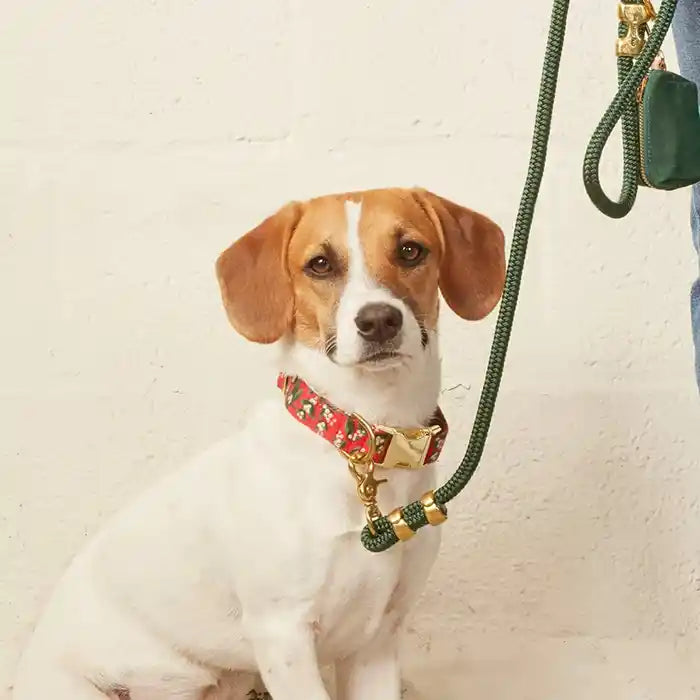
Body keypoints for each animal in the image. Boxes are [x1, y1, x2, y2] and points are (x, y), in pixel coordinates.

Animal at [10, 187, 504, 700]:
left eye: (410, 250)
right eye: (320, 264)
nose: (379, 320)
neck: (364, 434)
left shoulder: (376, 643)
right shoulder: (283, 635)